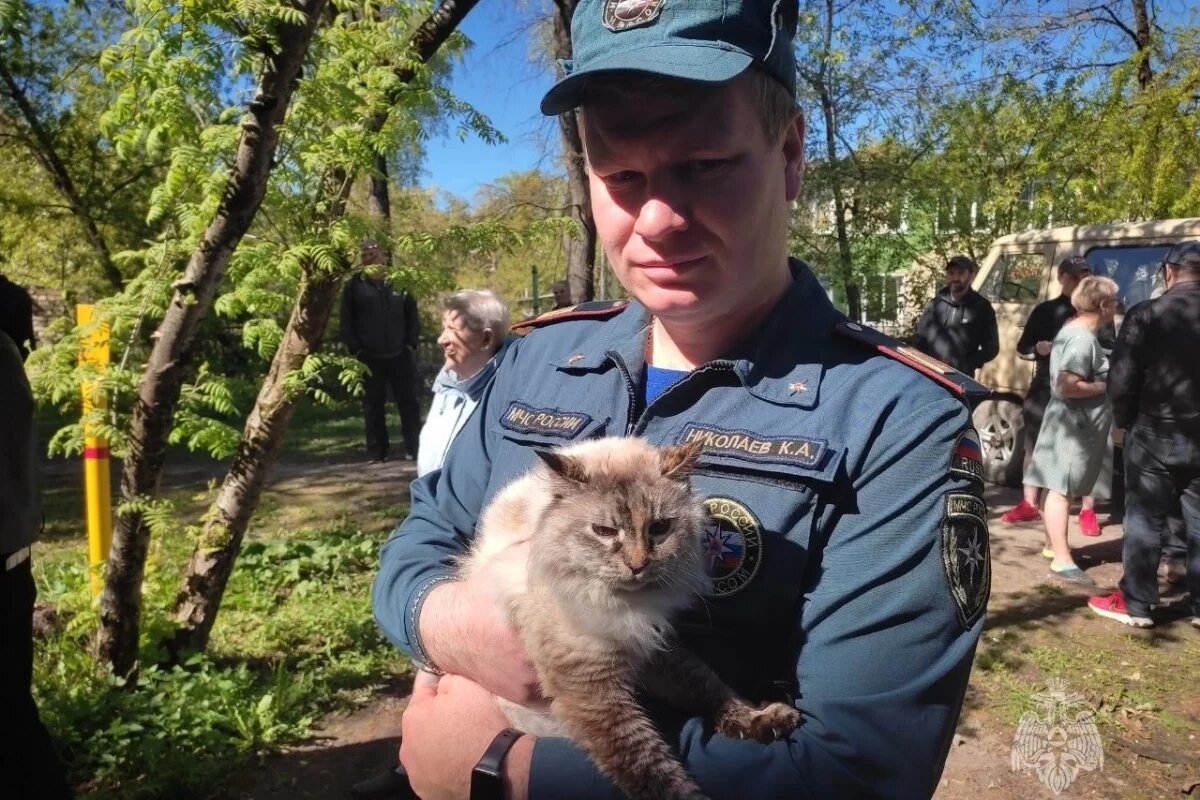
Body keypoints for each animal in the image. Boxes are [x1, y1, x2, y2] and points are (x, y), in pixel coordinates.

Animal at [463, 438, 801, 800]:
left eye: (659, 528)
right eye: (604, 531)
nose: (638, 565)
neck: (627, 603)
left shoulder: (654, 647)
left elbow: (710, 686)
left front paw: (761, 718)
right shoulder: (593, 687)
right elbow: (653, 769)